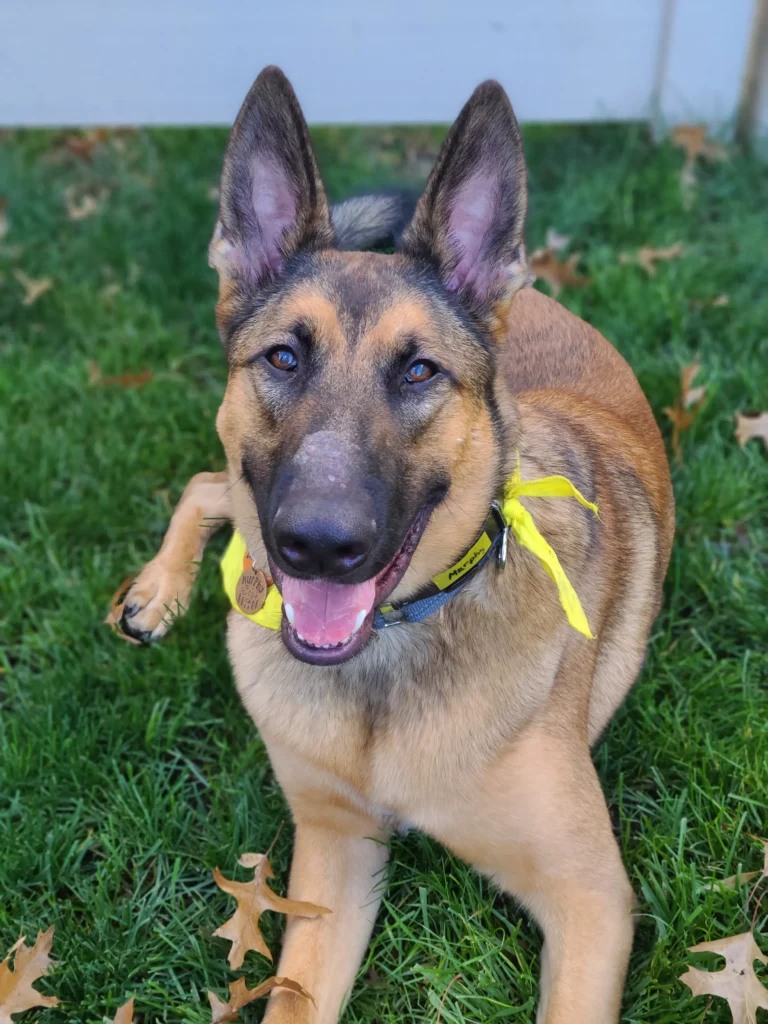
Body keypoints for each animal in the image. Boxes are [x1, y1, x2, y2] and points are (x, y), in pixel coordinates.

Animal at [118, 68, 671, 1019]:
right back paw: (158, 591)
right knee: (206, 484)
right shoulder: (332, 854)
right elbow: (295, 997)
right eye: (283, 358)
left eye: (419, 371)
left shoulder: (592, 900)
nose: (317, 546)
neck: (390, 652)